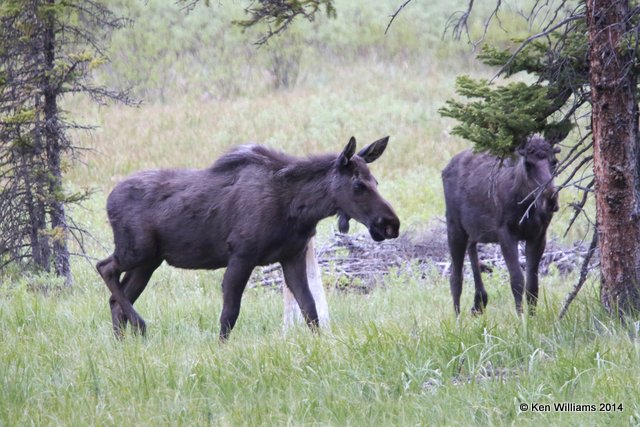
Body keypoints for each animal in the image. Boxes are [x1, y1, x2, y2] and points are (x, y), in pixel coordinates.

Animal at [97, 137, 400, 342]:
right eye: (358, 184)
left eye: (376, 182)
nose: (390, 225)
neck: (299, 209)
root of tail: (108, 201)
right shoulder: (242, 256)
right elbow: (229, 314)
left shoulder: (292, 256)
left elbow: (310, 308)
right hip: (137, 251)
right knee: (104, 267)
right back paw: (140, 326)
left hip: (149, 261)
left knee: (116, 298)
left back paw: (123, 343)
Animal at [442, 135, 556, 316]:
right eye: (528, 164)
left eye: (555, 162)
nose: (551, 200)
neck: (526, 204)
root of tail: (444, 170)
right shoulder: (506, 233)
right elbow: (517, 280)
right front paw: (521, 317)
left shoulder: (538, 235)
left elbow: (533, 284)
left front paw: (533, 317)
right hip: (454, 225)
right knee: (455, 275)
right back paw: (458, 318)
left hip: (474, 228)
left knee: (471, 246)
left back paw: (479, 300)